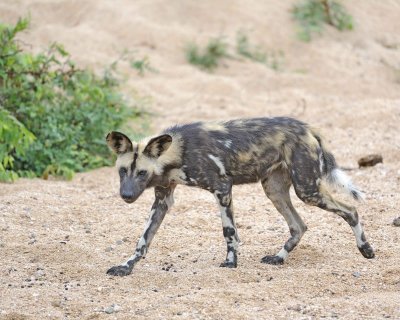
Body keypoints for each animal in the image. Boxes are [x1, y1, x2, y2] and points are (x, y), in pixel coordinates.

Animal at [105, 116, 376, 276]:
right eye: (123, 171)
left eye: (142, 172)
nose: (126, 195)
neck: (177, 153)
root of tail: (306, 128)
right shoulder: (162, 200)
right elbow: (143, 240)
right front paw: (126, 266)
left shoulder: (222, 188)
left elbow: (229, 232)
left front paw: (230, 262)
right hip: (274, 190)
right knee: (299, 226)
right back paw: (279, 258)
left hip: (307, 190)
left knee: (351, 210)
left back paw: (366, 249)